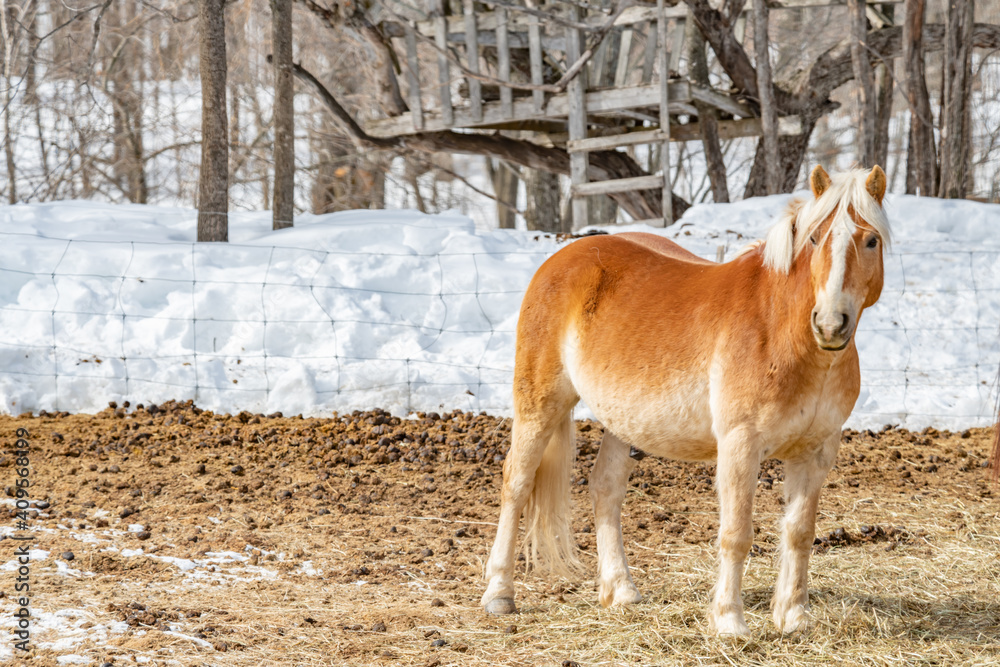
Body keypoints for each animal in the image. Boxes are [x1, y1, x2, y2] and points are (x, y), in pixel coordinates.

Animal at [481, 165, 891, 635]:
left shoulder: (816, 452)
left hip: (624, 422)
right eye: (815, 238)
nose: (829, 324)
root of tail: (563, 258)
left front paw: (794, 617)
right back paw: (499, 594)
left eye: (871, 240)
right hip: (539, 404)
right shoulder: (740, 445)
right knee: (516, 482)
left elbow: (799, 532)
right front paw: (730, 621)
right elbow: (736, 534)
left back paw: (621, 591)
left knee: (606, 488)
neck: (781, 330)